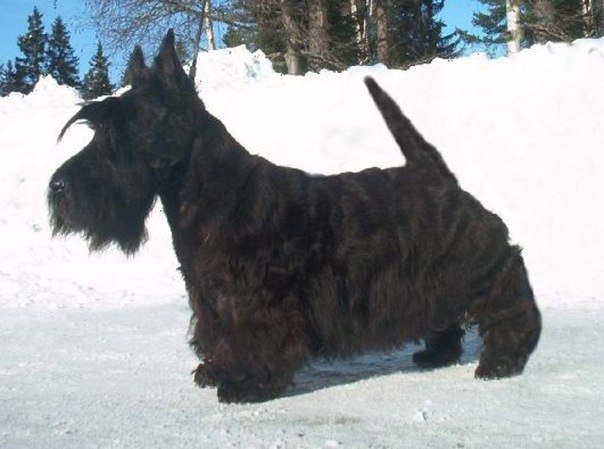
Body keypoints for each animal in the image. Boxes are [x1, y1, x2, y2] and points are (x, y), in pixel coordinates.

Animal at [48, 30, 541, 403]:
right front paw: (216, 369)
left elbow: (260, 338)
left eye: (124, 127)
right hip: (433, 276)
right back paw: (437, 354)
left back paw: (502, 359)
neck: (213, 193)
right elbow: (218, 333)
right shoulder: (209, 297)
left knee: (508, 294)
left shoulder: (260, 298)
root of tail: (438, 176)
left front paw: (247, 384)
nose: (58, 188)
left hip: (477, 260)